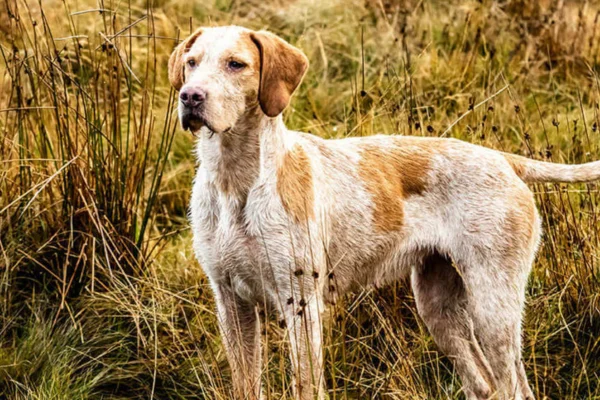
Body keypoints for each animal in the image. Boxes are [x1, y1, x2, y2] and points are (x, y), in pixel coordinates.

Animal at [166, 25, 600, 400]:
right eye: (191, 62)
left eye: (236, 64)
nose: (190, 96)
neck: (234, 181)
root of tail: (503, 160)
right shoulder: (231, 305)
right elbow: (245, 382)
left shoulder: (300, 304)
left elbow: (306, 384)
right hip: (438, 307)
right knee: (483, 384)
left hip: (494, 309)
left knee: (514, 387)